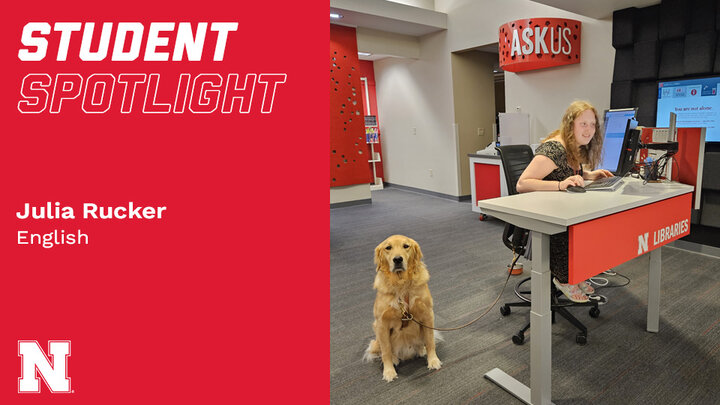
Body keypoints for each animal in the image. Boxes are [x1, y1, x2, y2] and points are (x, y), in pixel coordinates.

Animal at [362, 235, 442, 380]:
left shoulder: (427, 315)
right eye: (388, 247)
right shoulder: (381, 323)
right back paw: (394, 359)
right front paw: (389, 371)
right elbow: (386, 351)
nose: (398, 259)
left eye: (406, 246)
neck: (401, 285)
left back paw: (421, 350)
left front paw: (433, 360)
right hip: (376, 333)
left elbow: (430, 341)